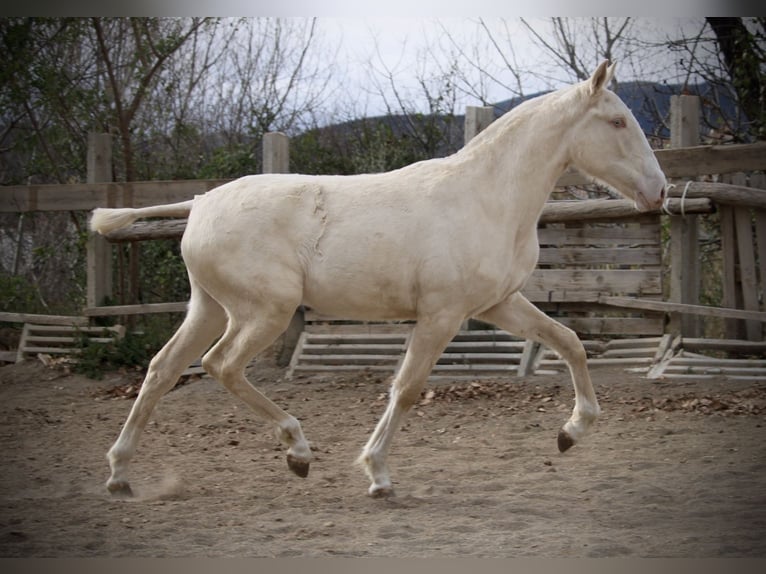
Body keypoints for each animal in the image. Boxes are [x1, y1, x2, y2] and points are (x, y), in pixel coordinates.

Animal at [90, 60, 664, 498]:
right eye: (617, 122)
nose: (658, 190)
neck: (485, 197)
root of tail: (200, 202)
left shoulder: (497, 304)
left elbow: (569, 342)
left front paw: (571, 433)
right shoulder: (441, 314)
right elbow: (407, 388)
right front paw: (378, 475)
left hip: (209, 307)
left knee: (162, 369)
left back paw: (120, 474)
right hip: (265, 311)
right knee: (221, 365)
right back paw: (298, 451)